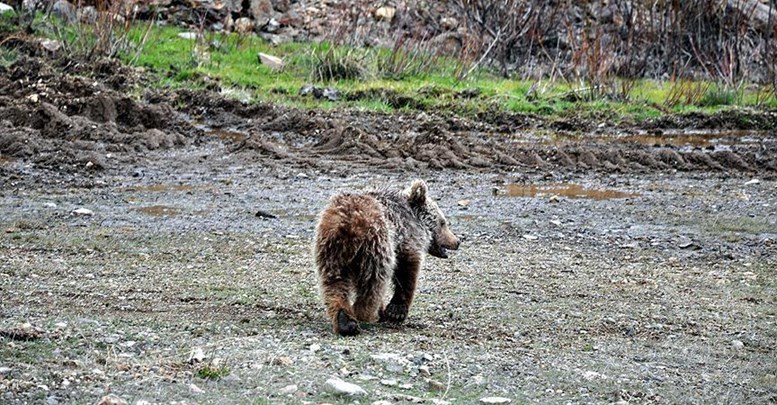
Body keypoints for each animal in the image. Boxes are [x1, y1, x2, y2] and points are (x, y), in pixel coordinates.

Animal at [312, 179, 458, 334]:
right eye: (443, 222)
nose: (457, 241)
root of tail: (347, 224)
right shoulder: (403, 240)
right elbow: (406, 273)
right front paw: (396, 312)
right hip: (376, 246)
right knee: (373, 283)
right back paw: (368, 313)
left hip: (330, 252)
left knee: (334, 283)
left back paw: (345, 320)